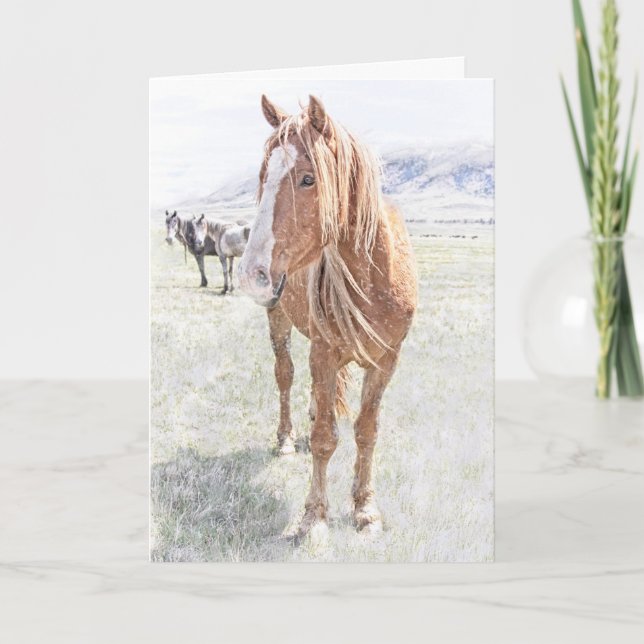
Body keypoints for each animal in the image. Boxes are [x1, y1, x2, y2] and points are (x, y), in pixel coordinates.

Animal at [238, 95, 417, 539]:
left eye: (307, 179)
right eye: (264, 176)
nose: (251, 274)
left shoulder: (386, 360)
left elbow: (366, 431)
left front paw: (366, 509)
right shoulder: (323, 351)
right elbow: (324, 438)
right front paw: (314, 517)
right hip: (279, 320)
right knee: (284, 376)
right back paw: (286, 439)